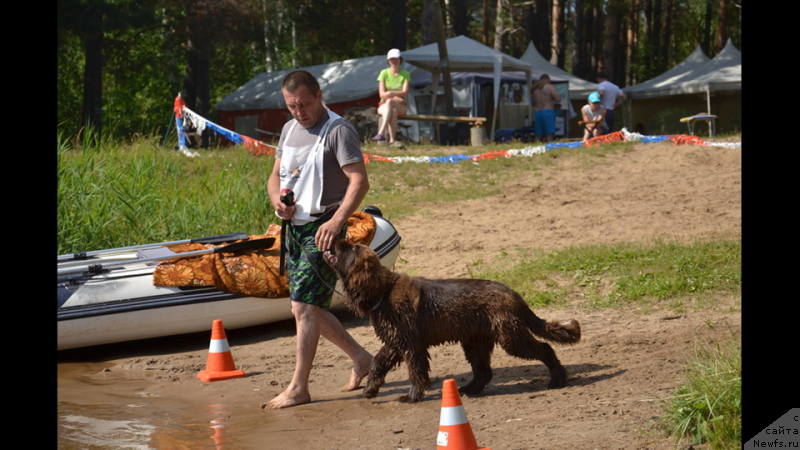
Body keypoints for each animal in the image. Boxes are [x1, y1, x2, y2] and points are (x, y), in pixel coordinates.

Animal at [324, 239, 580, 404]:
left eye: (352, 248)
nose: (334, 238)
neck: (383, 292)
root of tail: (513, 293)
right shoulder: (396, 342)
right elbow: (378, 363)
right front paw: (370, 389)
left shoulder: (412, 346)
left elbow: (416, 373)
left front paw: (412, 397)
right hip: (475, 342)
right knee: (484, 372)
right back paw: (469, 390)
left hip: (510, 337)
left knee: (545, 348)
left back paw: (558, 378)